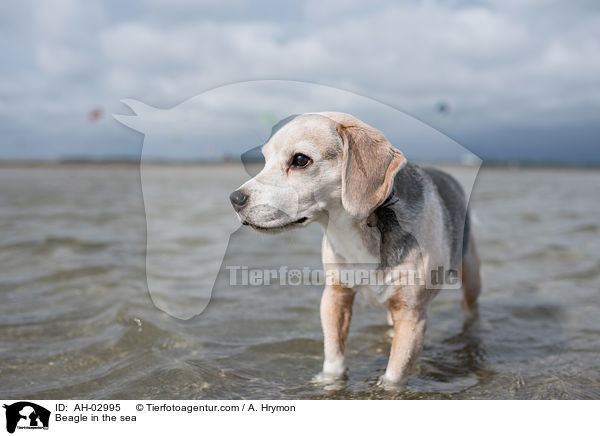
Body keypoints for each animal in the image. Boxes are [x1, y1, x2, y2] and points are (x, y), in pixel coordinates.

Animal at [230, 112, 482, 384]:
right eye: (265, 159)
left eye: (300, 160)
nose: (235, 199)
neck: (357, 230)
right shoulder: (335, 296)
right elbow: (334, 360)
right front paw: (329, 383)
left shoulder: (412, 315)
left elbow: (393, 378)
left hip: (471, 279)